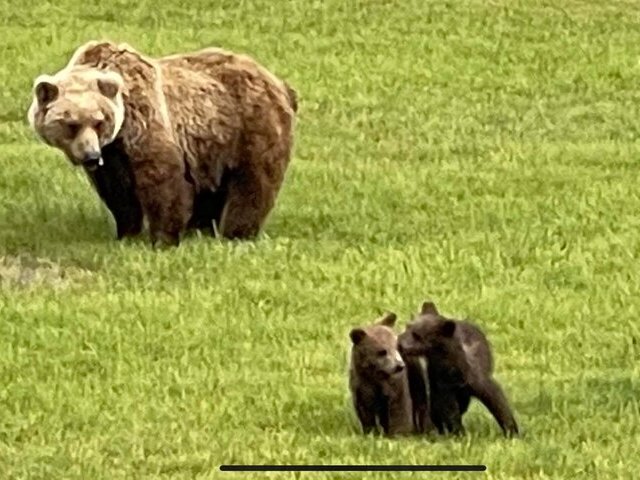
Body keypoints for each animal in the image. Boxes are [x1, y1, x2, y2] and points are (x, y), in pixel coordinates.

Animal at [28, 40, 300, 248]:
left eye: (99, 121)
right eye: (71, 124)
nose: (91, 156)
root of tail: (279, 83)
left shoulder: (143, 120)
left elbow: (161, 176)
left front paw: (162, 239)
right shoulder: (113, 155)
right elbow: (117, 191)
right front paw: (126, 233)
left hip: (250, 127)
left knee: (252, 184)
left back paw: (236, 233)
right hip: (211, 148)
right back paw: (203, 229)